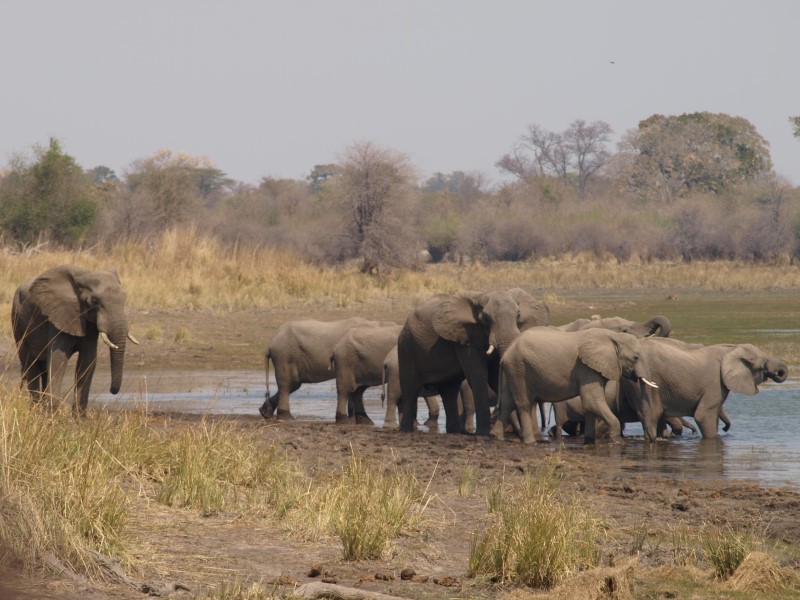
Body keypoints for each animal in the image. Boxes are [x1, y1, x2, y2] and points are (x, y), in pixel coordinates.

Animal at [10, 264, 138, 414]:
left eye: (124, 298)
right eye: (94, 301)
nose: (112, 391)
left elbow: (88, 361)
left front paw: (79, 418)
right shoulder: (58, 317)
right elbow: (58, 360)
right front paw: (54, 416)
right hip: (18, 324)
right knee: (30, 365)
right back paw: (37, 411)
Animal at [260, 316, 394, 420]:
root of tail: (271, 343)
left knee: (292, 384)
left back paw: (265, 413)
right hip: (285, 355)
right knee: (287, 384)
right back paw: (287, 418)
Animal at [396, 288, 552, 434]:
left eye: (518, 315)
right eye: (486, 319)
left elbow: (495, 378)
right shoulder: (466, 335)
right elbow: (478, 375)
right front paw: (483, 433)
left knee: (449, 390)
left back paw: (455, 431)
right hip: (407, 346)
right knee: (411, 388)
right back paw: (407, 430)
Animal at [490, 326, 652, 442]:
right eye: (635, 358)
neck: (614, 336)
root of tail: (506, 353)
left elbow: (590, 405)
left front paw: (589, 442)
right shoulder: (587, 368)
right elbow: (591, 400)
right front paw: (618, 443)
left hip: (512, 370)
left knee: (507, 402)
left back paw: (497, 437)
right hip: (519, 368)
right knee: (523, 404)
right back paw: (530, 442)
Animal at [620, 338, 788, 440]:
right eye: (765, 361)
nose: (780, 372)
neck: (732, 348)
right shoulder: (715, 383)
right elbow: (703, 415)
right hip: (645, 381)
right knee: (653, 415)